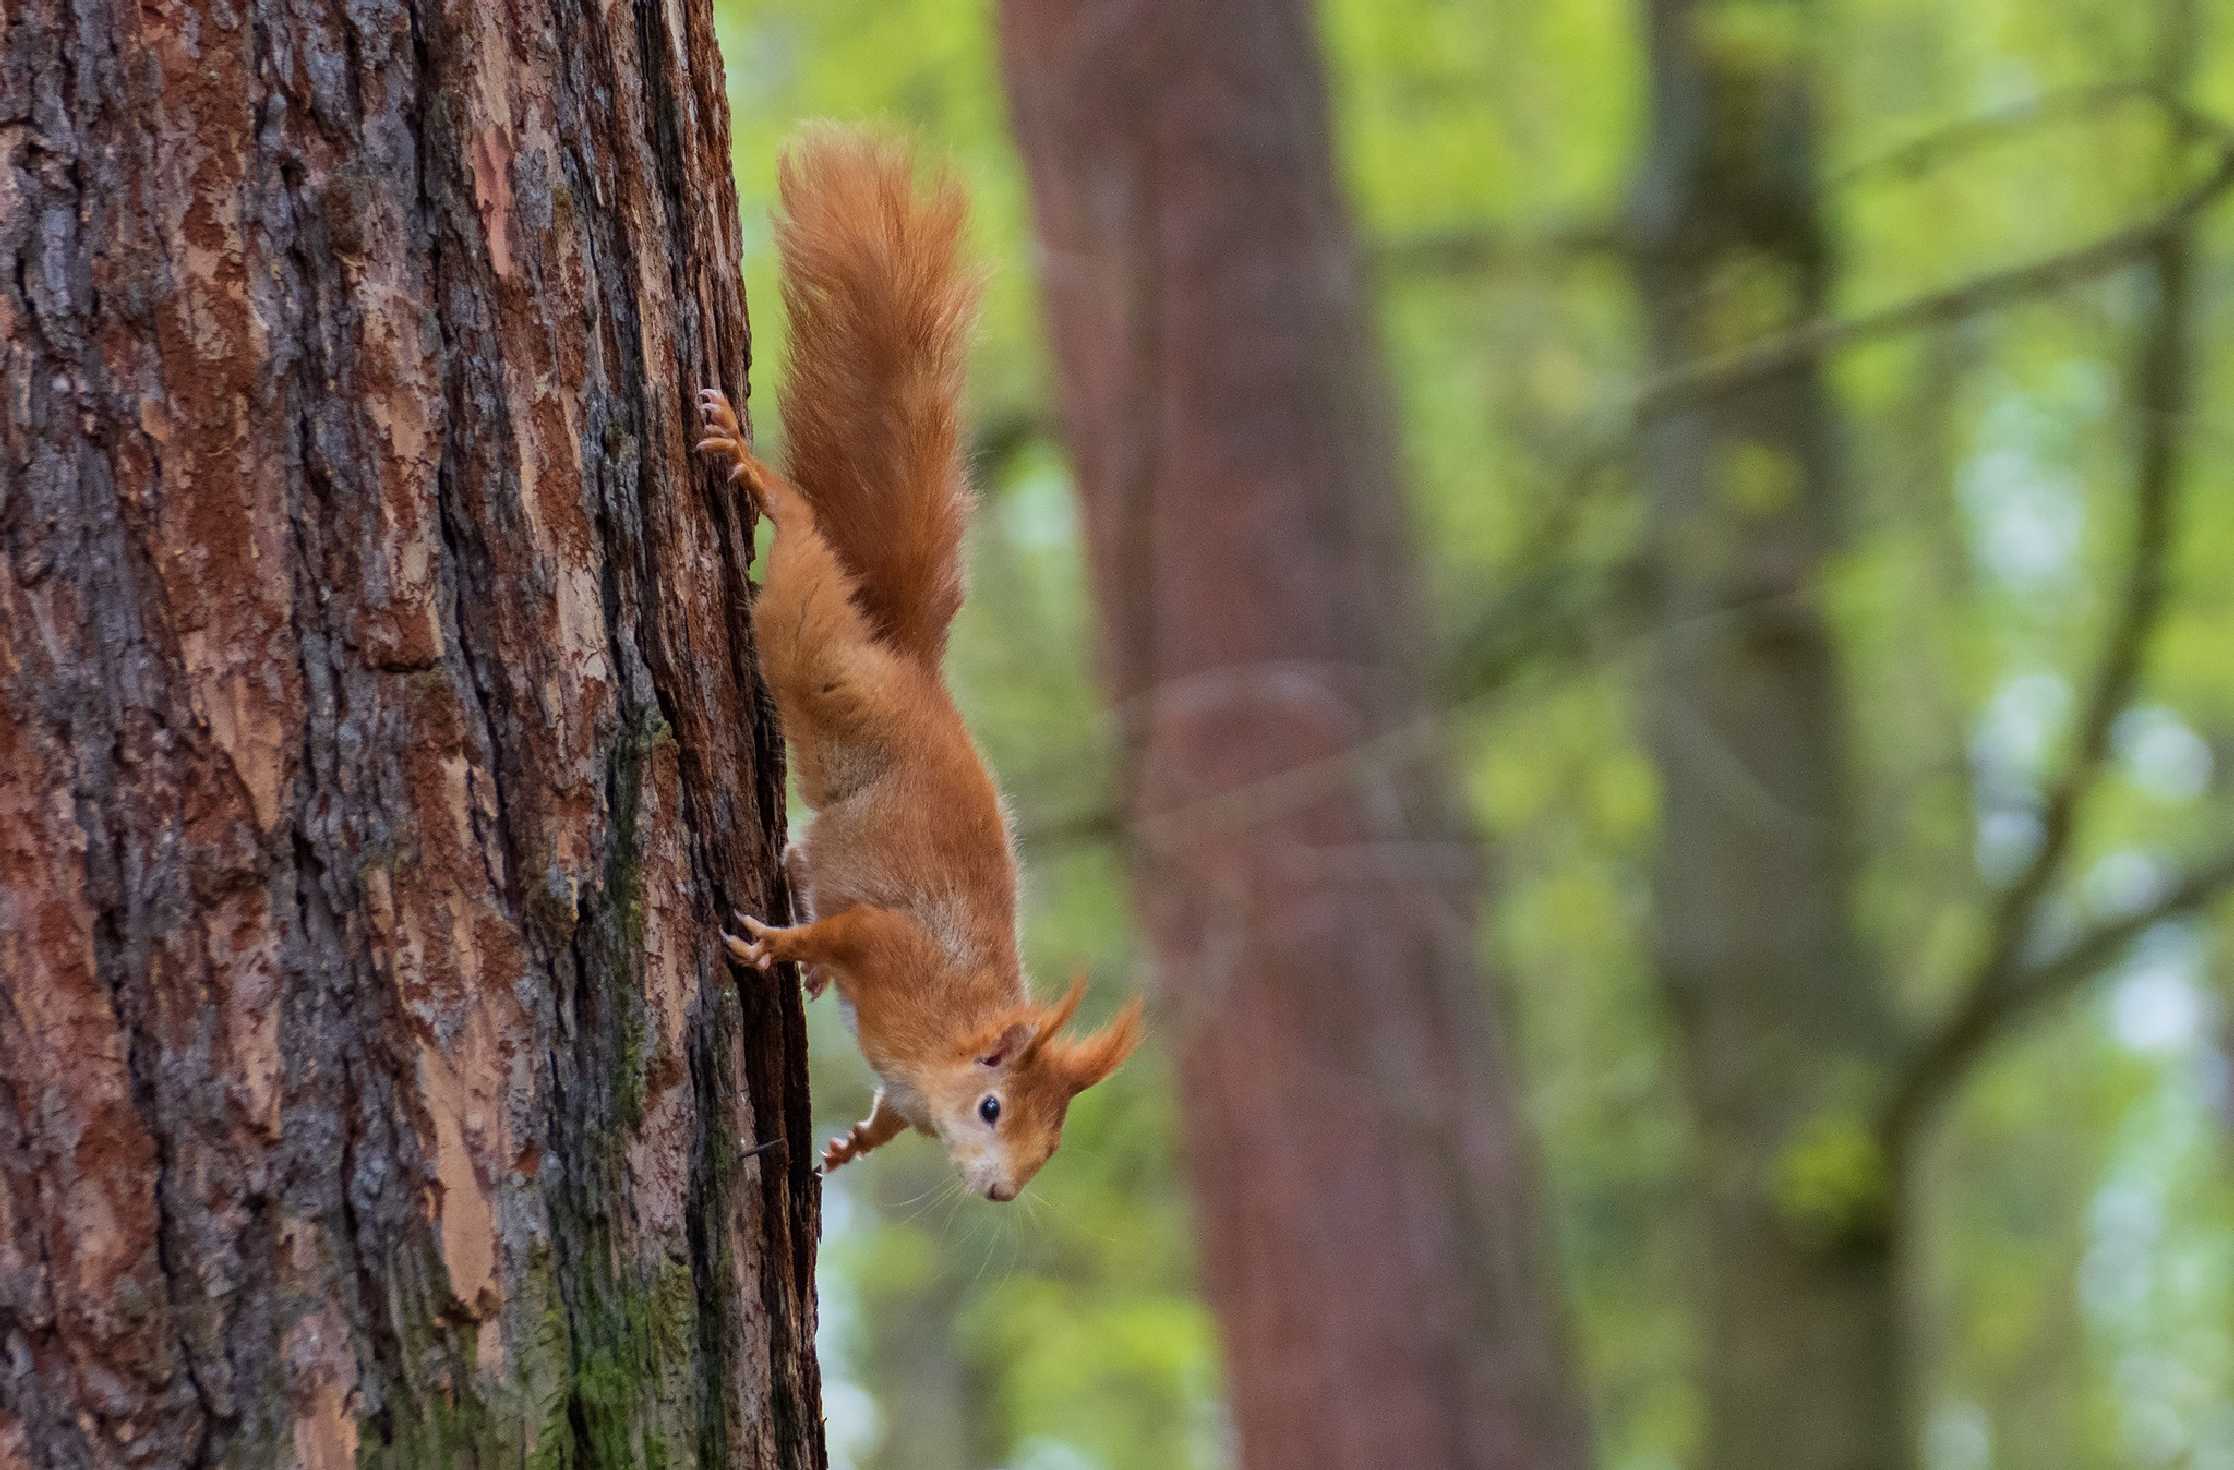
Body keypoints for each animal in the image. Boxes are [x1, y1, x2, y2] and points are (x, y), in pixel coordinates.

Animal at [697, 126, 1143, 1197]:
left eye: (1051, 1145)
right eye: (992, 1108)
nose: (1000, 1190)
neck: (952, 1037)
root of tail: (914, 675)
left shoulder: (907, 1084)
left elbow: (889, 1115)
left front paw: (849, 1145)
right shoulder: (898, 953)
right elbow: (851, 931)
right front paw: (780, 944)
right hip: (823, 664)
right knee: (804, 568)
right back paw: (758, 476)